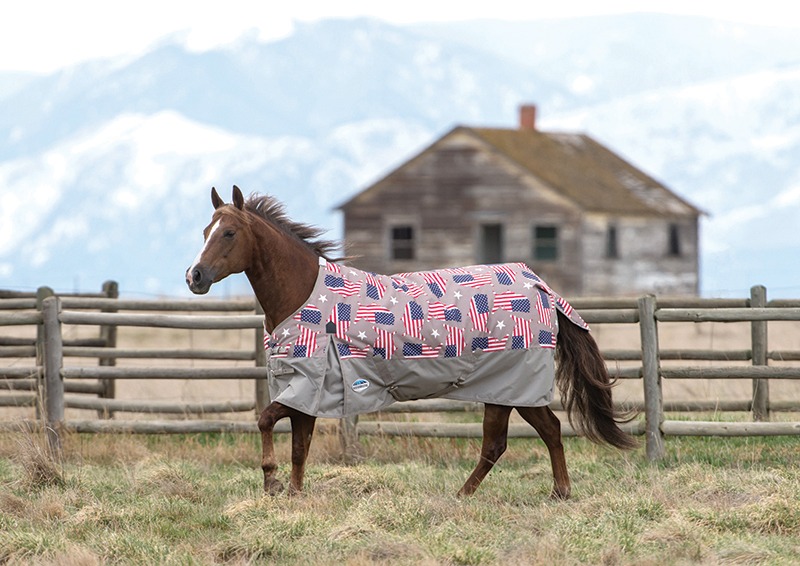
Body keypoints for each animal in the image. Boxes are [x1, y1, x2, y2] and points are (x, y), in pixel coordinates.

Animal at [186, 185, 636, 499]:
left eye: (228, 232)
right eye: (205, 230)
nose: (195, 277)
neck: (303, 297)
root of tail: (539, 285)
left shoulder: (306, 385)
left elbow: (266, 421)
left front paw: (272, 483)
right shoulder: (305, 390)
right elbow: (300, 446)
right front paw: (293, 492)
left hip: (514, 386)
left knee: (542, 433)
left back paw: (550, 492)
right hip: (500, 391)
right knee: (506, 442)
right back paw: (472, 495)